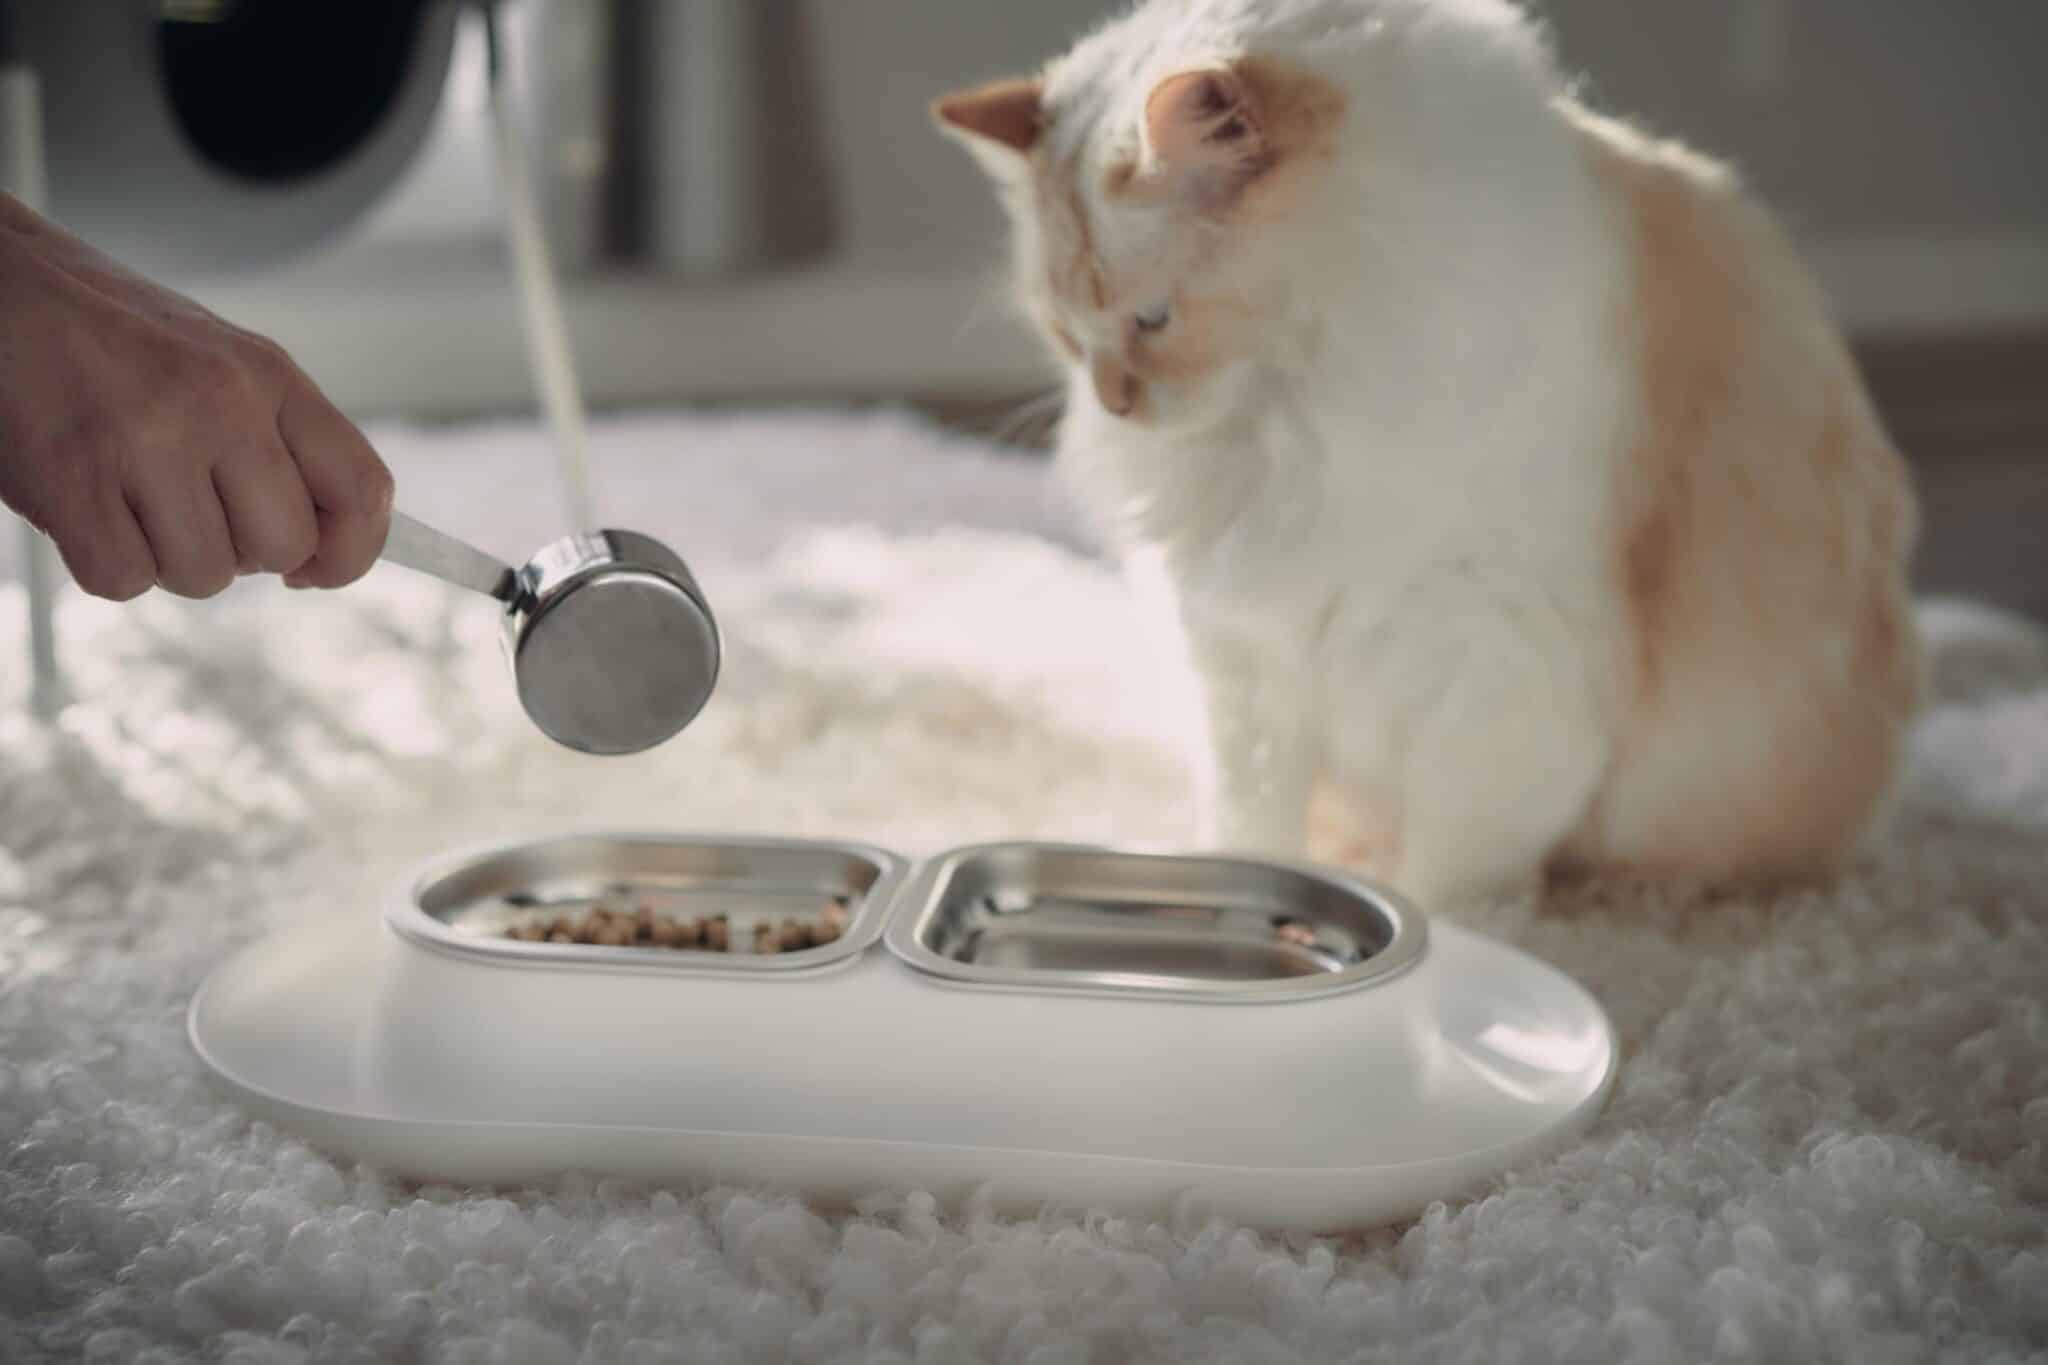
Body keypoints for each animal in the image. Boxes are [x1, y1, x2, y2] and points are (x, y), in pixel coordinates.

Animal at [937, 2, 1925, 916]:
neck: (1295, 435)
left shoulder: (1495, 659)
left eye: (1152, 320)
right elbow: (1254, 827)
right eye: (1068, 333)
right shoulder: (1248, 659)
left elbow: (1450, 882)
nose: (1115, 401)